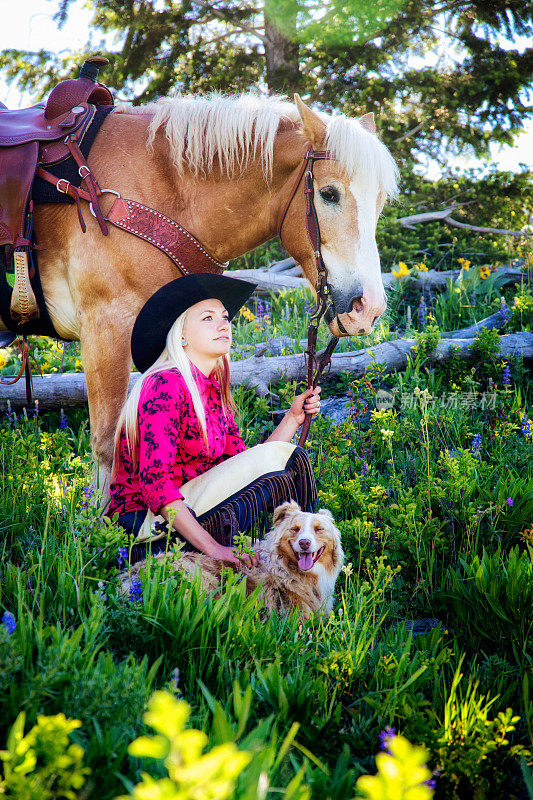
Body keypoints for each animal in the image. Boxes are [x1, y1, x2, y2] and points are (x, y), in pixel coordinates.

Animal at [0, 90, 396, 490]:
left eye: (380, 201)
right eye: (329, 194)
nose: (368, 308)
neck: (159, 186)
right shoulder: (106, 325)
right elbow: (109, 446)